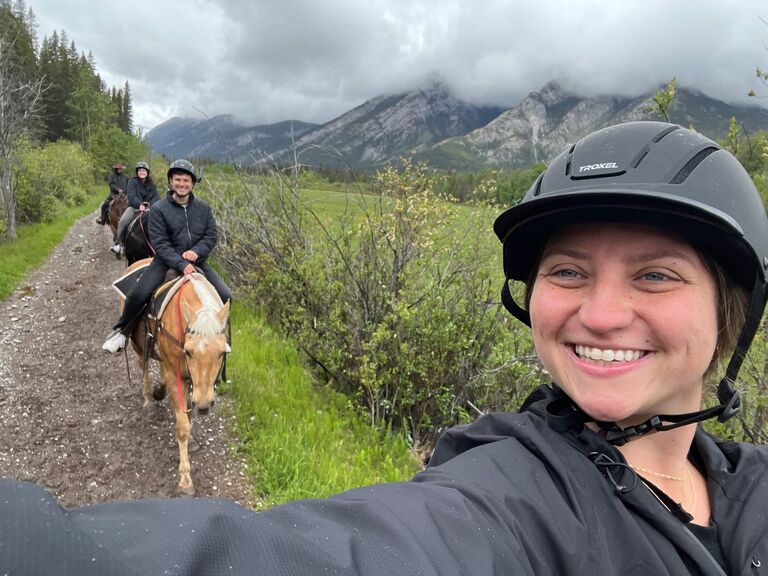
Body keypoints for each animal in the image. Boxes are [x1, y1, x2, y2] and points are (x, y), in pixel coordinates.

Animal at [118, 258, 230, 492]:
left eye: (222, 352)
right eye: (189, 351)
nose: (204, 405)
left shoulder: (191, 381)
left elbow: (188, 414)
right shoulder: (177, 376)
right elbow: (182, 426)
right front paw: (185, 480)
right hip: (138, 344)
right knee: (143, 367)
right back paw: (149, 400)